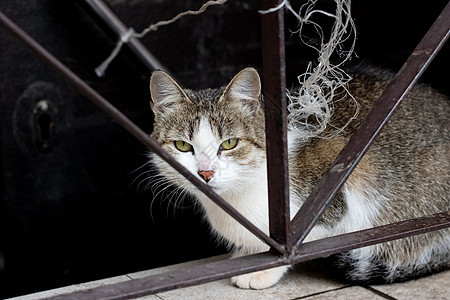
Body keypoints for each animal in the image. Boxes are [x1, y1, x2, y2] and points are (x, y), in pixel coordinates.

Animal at [149, 67, 450, 288]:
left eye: (230, 143)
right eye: (183, 146)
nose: (206, 172)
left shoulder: (341, 176)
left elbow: (305, 241)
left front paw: (263, 270)